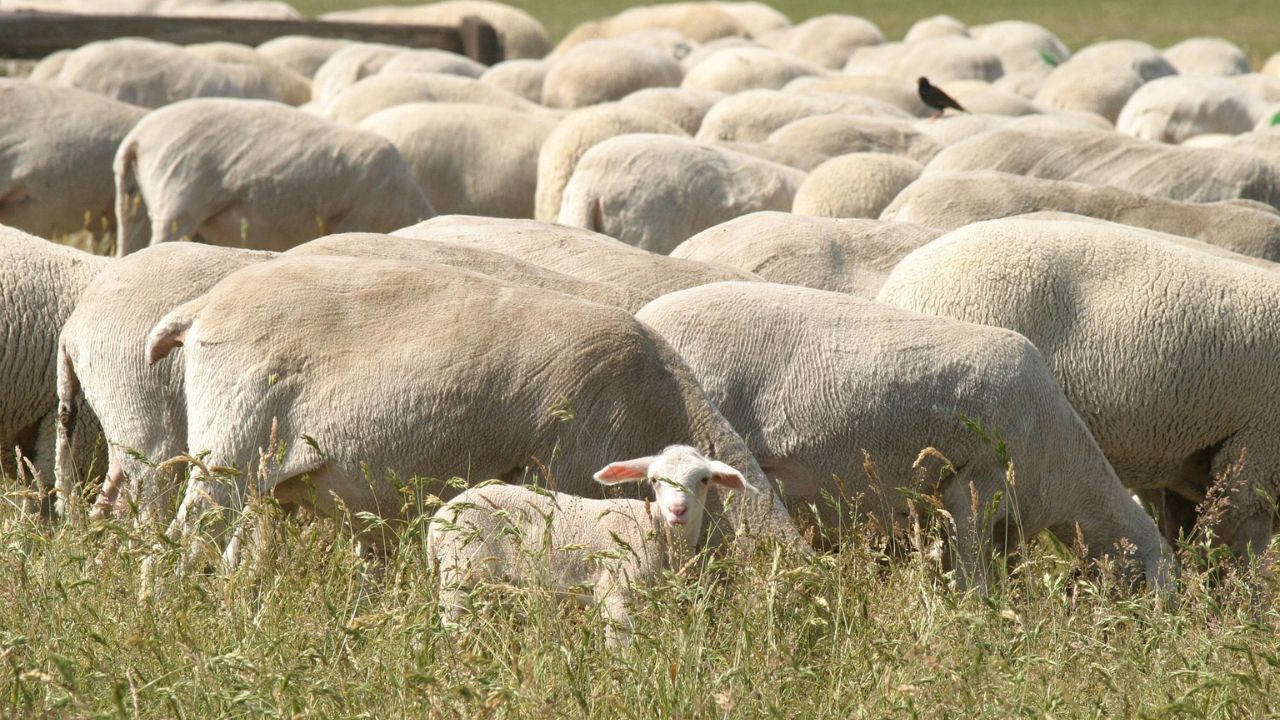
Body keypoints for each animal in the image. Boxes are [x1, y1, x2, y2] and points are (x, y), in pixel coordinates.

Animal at [149, 256, 806, 567]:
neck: (659, 403)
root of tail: (204, 306)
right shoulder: (566, 473)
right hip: (231, 447)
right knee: (181, 542)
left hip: (269, 475)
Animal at [428, 445, 752, 642]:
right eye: (655, 480)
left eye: (705, 479)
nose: (678, 510)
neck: (657, 530)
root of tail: (437, 521)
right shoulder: (617, 591)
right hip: (461, 573)